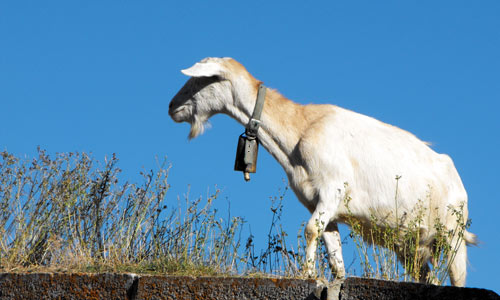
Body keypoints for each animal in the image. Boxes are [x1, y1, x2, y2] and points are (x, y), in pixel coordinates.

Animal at [169, 57, 476, 288]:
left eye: (198, 79)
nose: (172, 107)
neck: (299, 130)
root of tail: (456, 179)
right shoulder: (319, 203)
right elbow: (332, 250)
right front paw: (332, 278)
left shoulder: (332, 189)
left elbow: (309, 230)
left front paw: (306, 274)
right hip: (411, 245)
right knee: (427, 276)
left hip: (453, 235)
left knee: (457, 275)